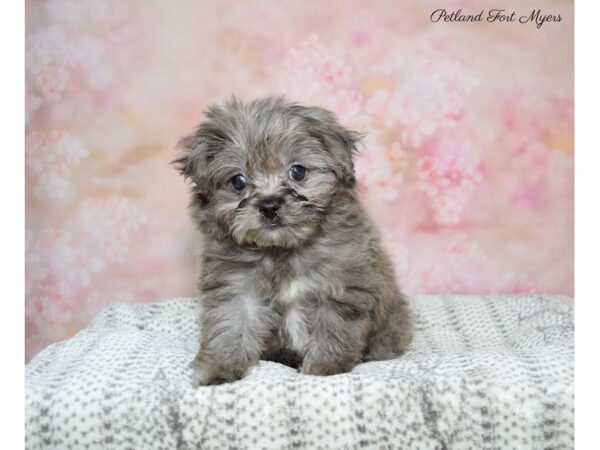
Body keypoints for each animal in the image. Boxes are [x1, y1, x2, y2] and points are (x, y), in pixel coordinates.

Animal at [175, 96, 412, 384]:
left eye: (298, 172)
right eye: (238, 181)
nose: (269, 205)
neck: (282, 249)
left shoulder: (339, 288)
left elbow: (333, 328)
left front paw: (325, 365)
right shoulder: (236, 287)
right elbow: (230, 325)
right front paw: (219, 367)